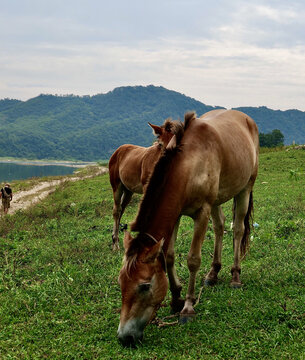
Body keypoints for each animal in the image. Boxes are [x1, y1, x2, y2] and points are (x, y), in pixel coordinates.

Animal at [108, 118, 179, 250]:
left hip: (128, 190)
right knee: (116, 210)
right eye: (160, 144)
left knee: (121, 209)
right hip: (116, 185)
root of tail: (118, 150)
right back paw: (115, 243)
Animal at [117, 109, 258, 346]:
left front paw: (188, 307)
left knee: (237, 229)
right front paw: (176, 298)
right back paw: (213, 273)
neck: (189, 165)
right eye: (121, 282)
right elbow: (169, 256)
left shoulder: (201, 212)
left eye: (144, 285)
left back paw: (235, 276)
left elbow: (193, 259)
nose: (124, 337)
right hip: (218, 199)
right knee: (219, 227)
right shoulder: (176, 214)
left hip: (245, 188)